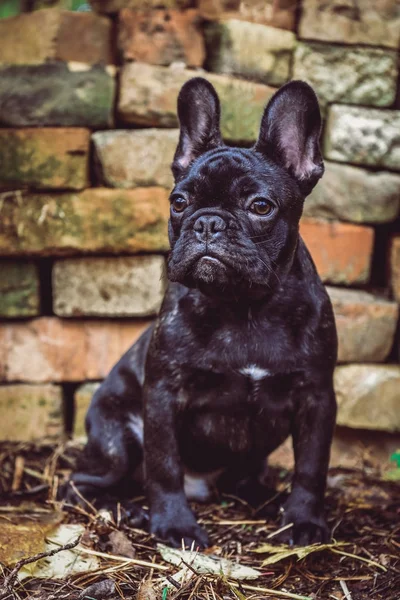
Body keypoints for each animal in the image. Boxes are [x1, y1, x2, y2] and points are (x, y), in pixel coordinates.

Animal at [69, 78, 338, 548]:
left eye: (261, 206)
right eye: (179, 202)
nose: (208, 222)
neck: (244, 306)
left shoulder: (317, 397)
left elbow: (311, 467)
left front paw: (303, 520)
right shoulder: (162, 394)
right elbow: (163, 466)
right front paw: (175, 525)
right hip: (115, 440)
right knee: (86, 483)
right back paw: (127, 509)